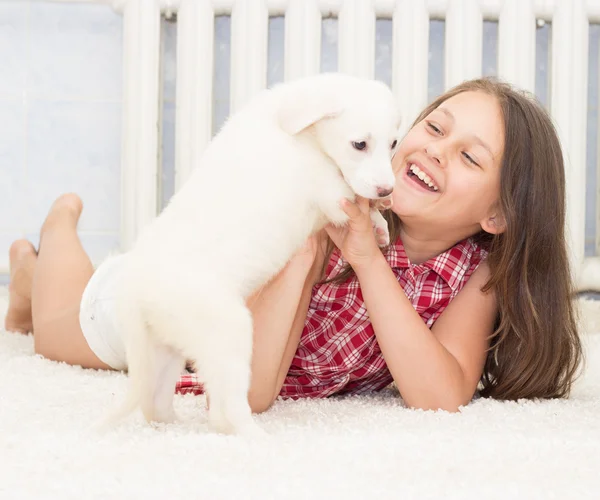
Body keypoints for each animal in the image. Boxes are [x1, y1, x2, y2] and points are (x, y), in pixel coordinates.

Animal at [112, 72, 404, 436]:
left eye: (393, 144)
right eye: (359, 145)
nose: (388, 189)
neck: (295, 128)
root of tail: (136, 292)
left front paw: (379, 224)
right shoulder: (328, 188)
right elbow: (351, 195)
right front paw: (377, 215)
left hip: (165, 349)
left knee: (157, 401)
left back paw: (172, 425)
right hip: (228, 334)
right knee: (226, 409)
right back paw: (255, 435)